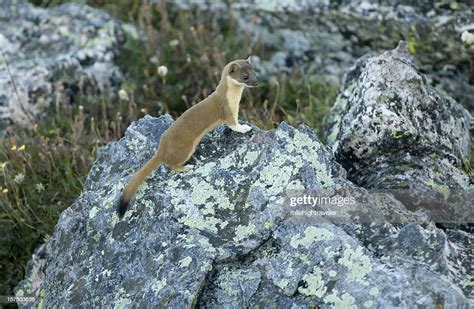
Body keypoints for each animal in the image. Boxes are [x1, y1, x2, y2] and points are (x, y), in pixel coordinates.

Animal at [118, 57, 260, 217]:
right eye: (245, 77)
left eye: (254, 72)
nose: (256, 82)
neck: (233, 98)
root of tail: (161, 149)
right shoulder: (227, 110)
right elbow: (233, 125)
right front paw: (245, 128)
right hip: (185, 149)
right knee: (171, 165)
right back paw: (186, 167)